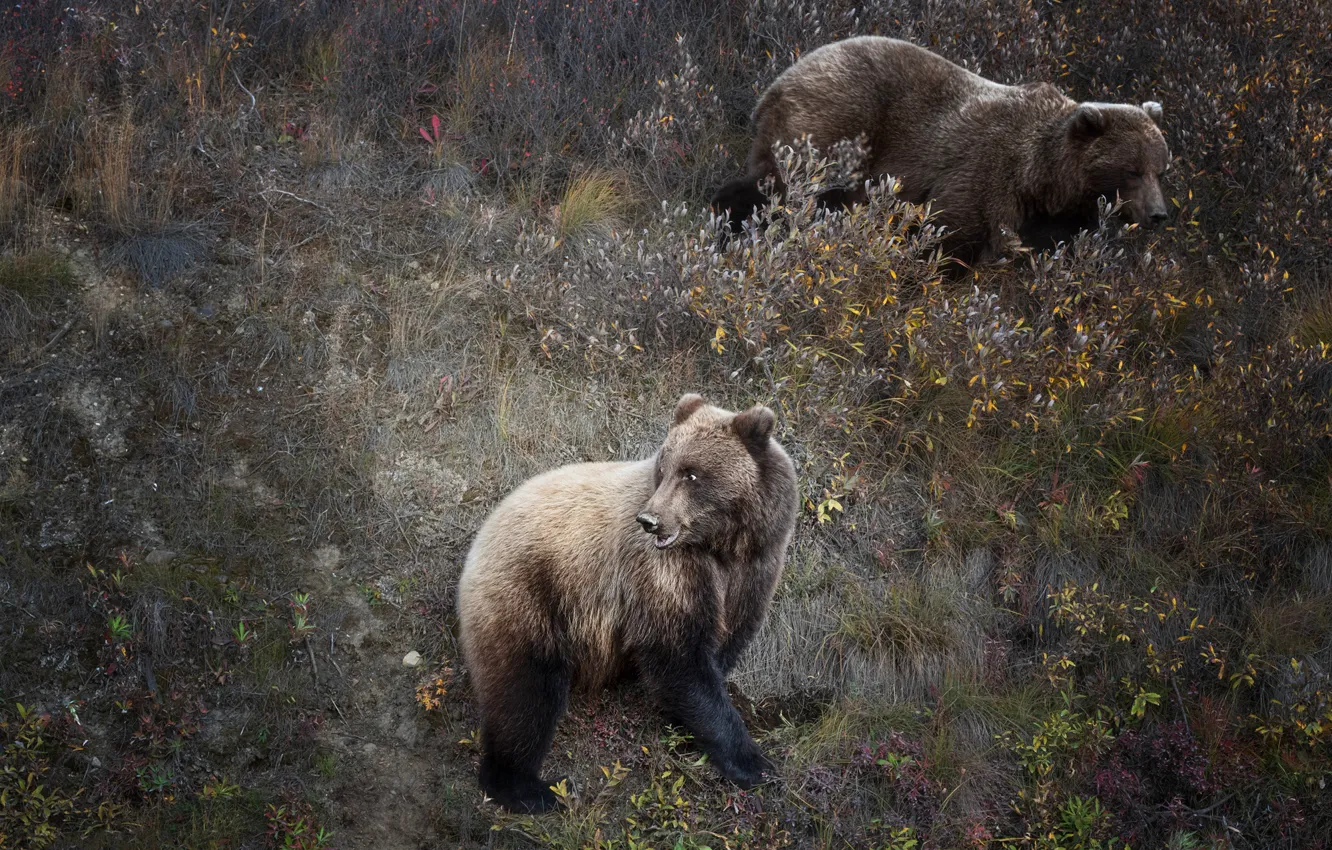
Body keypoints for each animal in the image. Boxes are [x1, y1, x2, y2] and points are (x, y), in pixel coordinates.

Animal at [456, 393, 799, 813]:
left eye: (692, 474)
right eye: (665, 467)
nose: (650, 520)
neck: (721, 545)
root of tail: (480, 538)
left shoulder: (757, 566)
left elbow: (724, 643)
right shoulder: (660, 570)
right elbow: (679, 654)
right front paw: (754, 762)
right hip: (528, 596)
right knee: (525, 694)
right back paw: (536, 789)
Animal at [712, 36, 1171, 264]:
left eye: (1160, 170)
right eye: (1132, 170)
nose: (1158, 214)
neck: (1039, 178)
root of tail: (782, 78)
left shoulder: (1049, 218)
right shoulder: (984, 173)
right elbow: (949, 237)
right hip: (835, 121)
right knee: (780, 184)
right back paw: (726, 222)